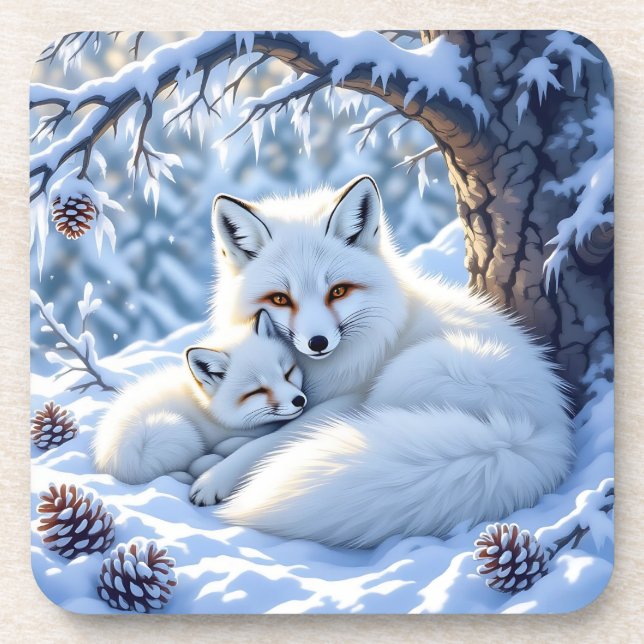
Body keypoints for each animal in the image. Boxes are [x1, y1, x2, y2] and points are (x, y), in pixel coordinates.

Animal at [92, 311, 307, 494]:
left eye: (288, 374)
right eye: (258, 391)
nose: (299, 400)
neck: (208, 413)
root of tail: (107, 460)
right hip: (175, 432)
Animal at [186, 174, 574, 548]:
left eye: (338, 291)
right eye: (280, 299)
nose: (317, 343)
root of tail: (533, 435)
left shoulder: (346, 399)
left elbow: (276, 439)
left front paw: (217, 477)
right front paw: (222, 451)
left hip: (407, 375)